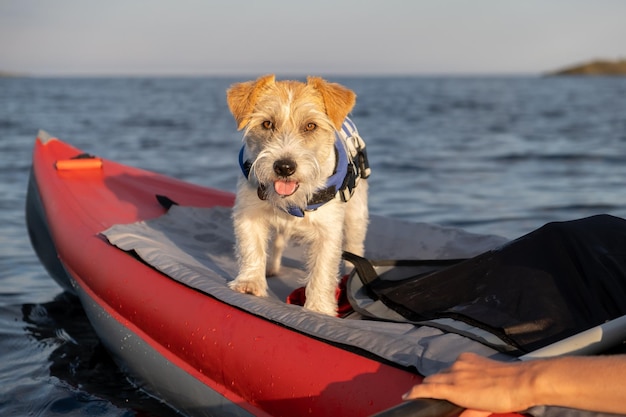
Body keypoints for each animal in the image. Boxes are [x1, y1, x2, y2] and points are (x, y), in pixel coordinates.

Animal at [225, 75, 368, 316]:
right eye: (267, 123)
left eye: (310, 126)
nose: (284, 167)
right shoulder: (249, 213)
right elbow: (252, 247)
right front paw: (250, 283)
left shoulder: (328, 230)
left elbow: (322, 269)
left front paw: (319, 307)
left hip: (356, 214)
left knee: (354, 245)